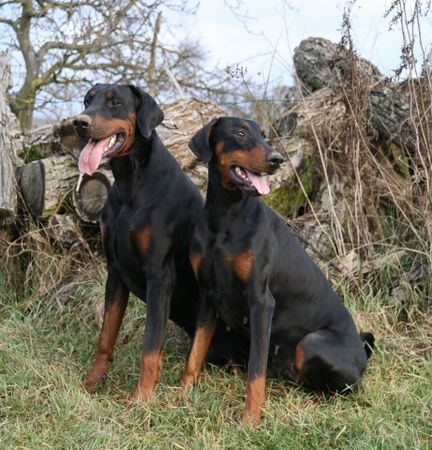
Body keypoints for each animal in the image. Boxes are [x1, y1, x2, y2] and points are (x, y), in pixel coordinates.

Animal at [179, 117, 374, 426]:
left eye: (264, 135)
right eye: (239, 132)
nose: (276, 160)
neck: (226, 217)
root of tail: (363, 354)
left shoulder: (261, 303)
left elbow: (256, 372)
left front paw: (249, 420)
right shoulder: (208, 296)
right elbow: (195, 354)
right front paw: (181, 397)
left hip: (313, 342)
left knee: (339, 389)